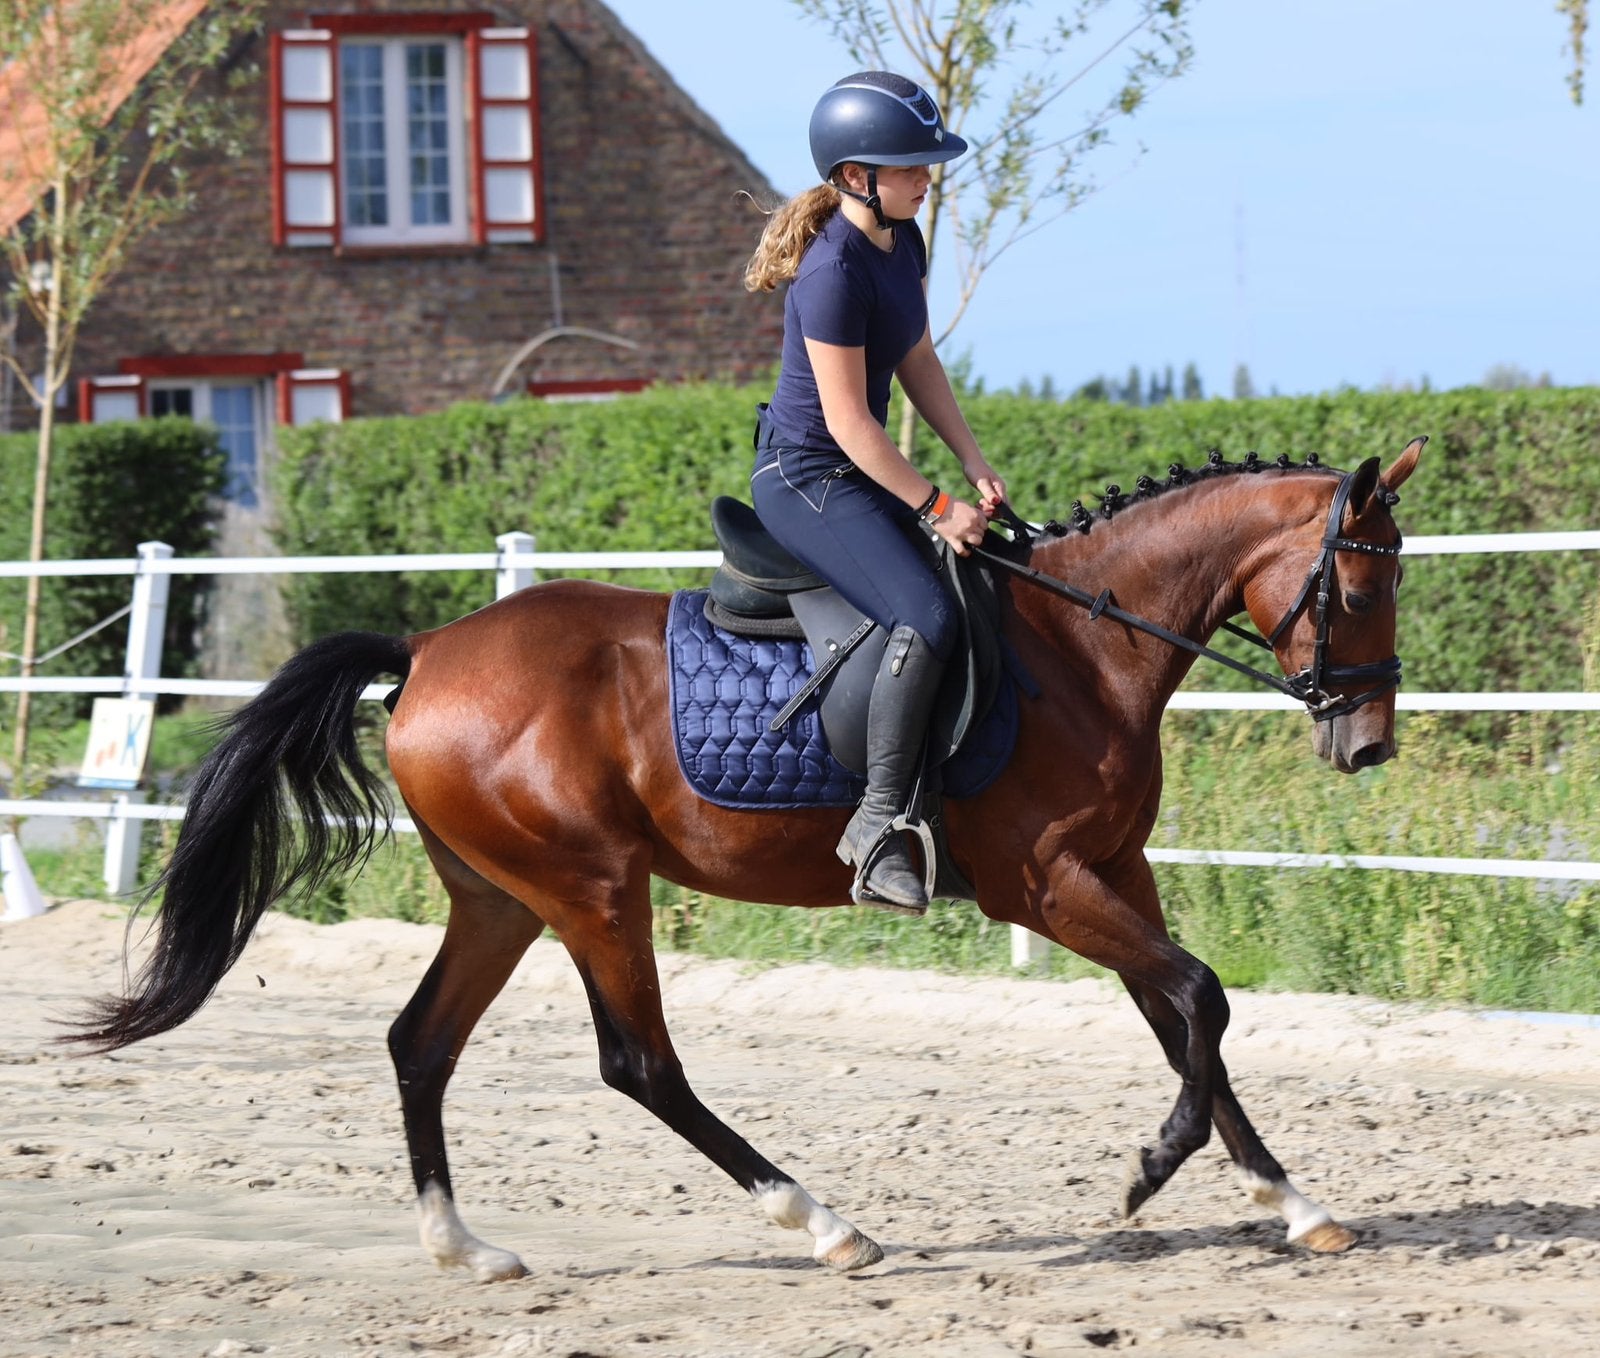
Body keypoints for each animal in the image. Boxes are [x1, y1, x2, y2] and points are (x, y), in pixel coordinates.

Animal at [67, 437, 1424, 1281]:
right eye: (1358, 591)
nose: (1366, 744)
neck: (1079, 646)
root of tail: (430, 648)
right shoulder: (1048, 883)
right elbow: (1199, 994)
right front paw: (1149, 1171)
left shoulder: (1115, 872)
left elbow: (1185, 1016)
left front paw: (1293, 1202)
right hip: (594, 889)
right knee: (639, 1064)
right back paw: (821, 1222)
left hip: (502, 898)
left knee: (421, 1043)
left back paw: (465, 1246)